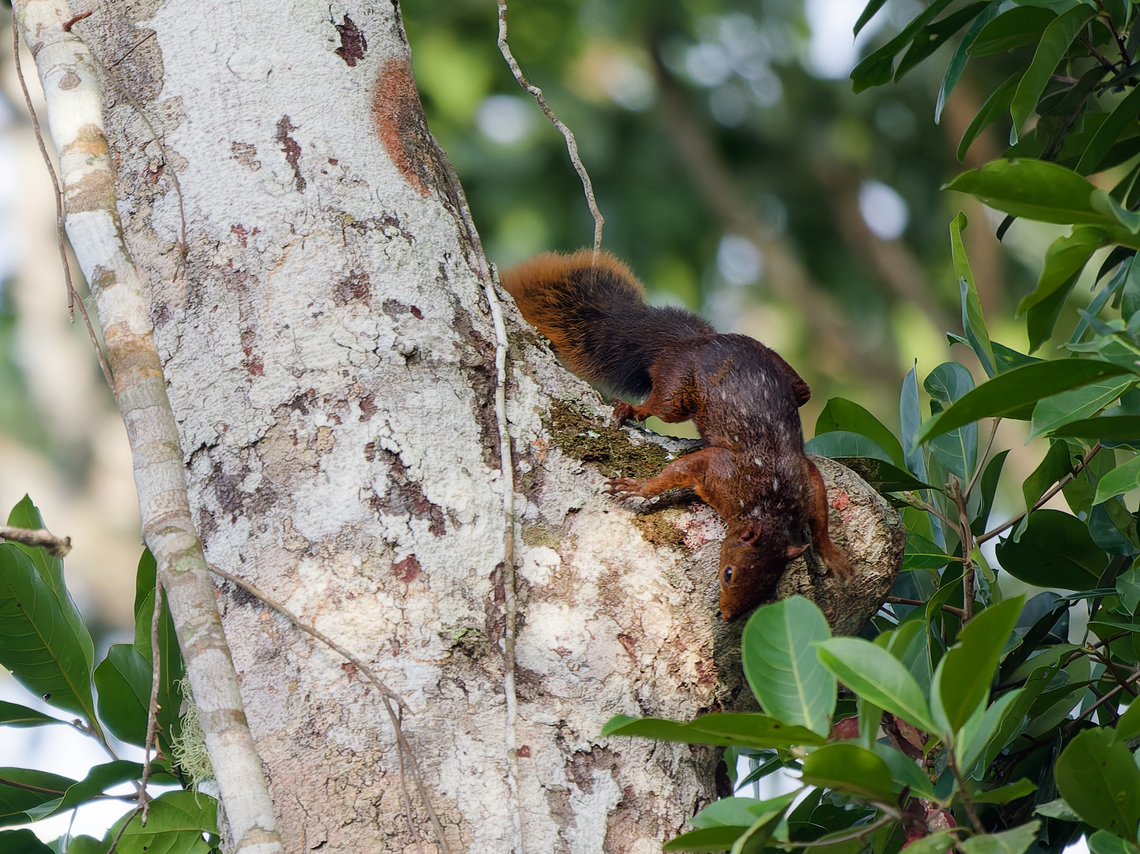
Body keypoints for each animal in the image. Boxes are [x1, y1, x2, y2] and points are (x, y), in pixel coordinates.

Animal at [501, 249, 856, 621]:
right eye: (729, 574)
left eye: (768, 589)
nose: (727, 616)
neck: (771, 505)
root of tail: (694, 340)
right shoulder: (721, 471)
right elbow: (681, 470)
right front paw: (637, 487)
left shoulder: (804, 479)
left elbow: (819, 506)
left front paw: (831, 553)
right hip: (678, 387)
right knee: (661, 405)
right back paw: (633, 410)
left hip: (792, 384)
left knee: (802, 391)